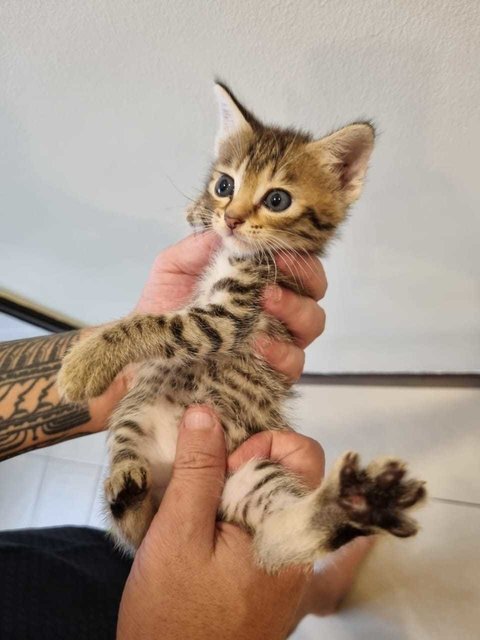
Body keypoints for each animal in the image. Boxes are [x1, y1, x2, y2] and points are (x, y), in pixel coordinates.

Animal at [58, 84, 426, 568]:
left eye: (277, 200)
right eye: (224, 185)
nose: (230, 218)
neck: (238, 253)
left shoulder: (228, 315)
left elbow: (153, 325)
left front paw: (85, 362)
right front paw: (197, 211)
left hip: (248, 477)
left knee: (278, 532)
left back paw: (356, 504)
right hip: (133, 421)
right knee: (138, 526)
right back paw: (128, 491)